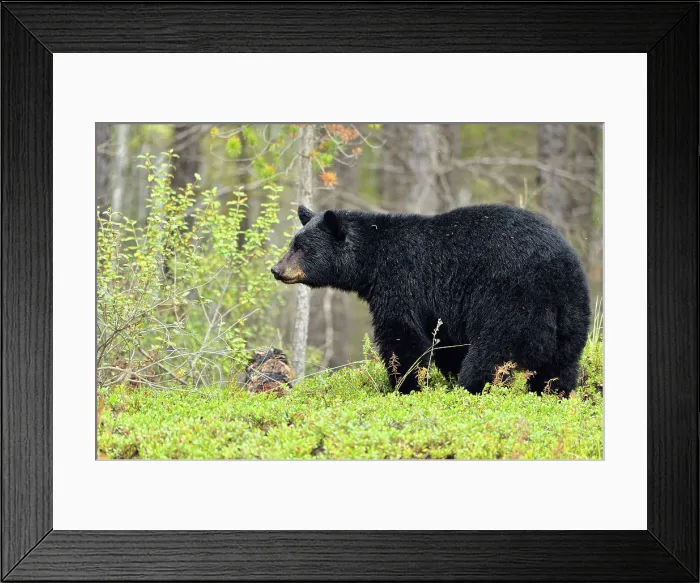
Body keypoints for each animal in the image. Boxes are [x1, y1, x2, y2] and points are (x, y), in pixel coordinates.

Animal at [272, 204, 590, 396]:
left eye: (301, 247)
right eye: (292, 244)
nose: (276, 269)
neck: (373, 263)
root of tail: (558, 273)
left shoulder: (404, 283)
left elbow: (403, 338)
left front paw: (405, 385)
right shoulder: (444, 308)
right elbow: (447, 343)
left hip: (512, 304)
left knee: (490, 357)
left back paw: (471, 389)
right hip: (572, 316)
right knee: (560, 367)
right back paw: (553, 393)